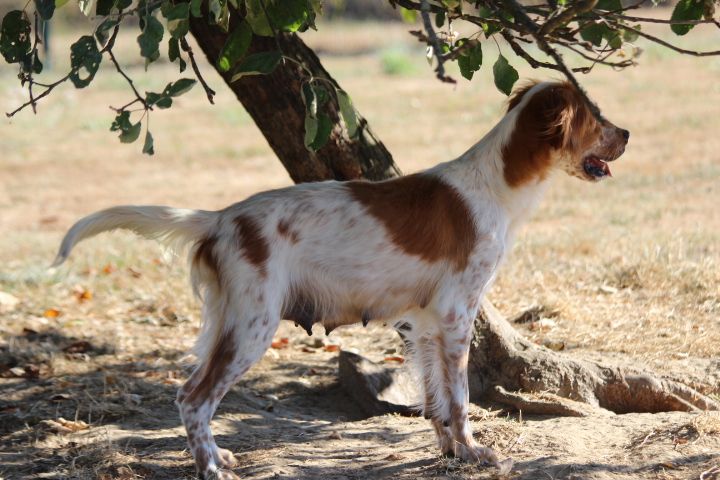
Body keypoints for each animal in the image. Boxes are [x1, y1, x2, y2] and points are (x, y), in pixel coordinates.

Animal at [53, 80, 628, 478]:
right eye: (597, 117)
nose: (627, 134)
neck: (495, 181)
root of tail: (221, 218)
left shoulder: (423, 322)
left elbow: (437, 402)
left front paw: (449, 452)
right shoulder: (456, 315)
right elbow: (462, 399)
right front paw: (476, 453)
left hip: (230, 321)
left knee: (193, 394)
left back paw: (218, 455)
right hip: (253, 325)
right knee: (192, 397)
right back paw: (211, 467)